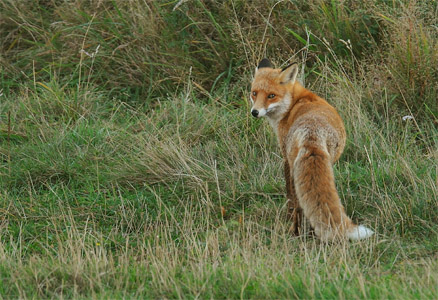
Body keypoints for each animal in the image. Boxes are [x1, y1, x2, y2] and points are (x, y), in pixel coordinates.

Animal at [250, 59, 372, 241]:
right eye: (254, 93)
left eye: (271, 95)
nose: (254, 112)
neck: (293, 103)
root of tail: (312, 134)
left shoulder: (286, 159)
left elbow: (288, 196)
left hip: (295, 171)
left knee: (298, 205)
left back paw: (295, 232)